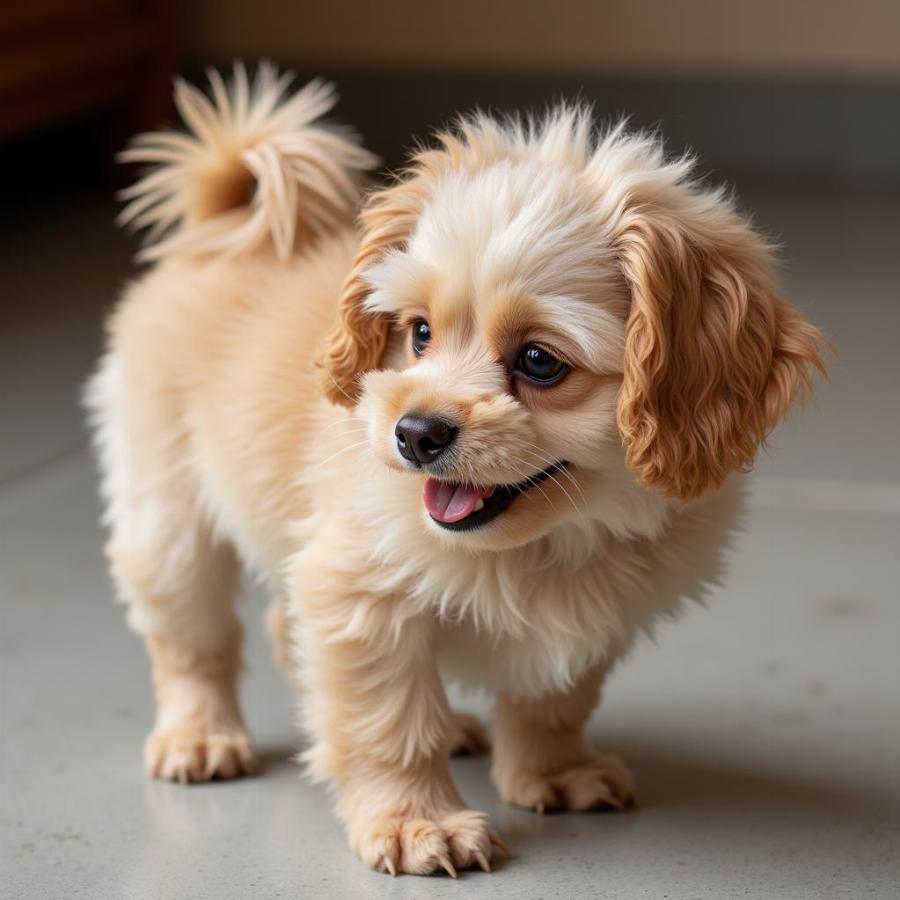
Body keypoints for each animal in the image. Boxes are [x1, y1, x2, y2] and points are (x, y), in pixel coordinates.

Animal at [88, 65, 828, 880]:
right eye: (418, 334)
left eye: (539, 361)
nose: (414, 433)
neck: (546, 543)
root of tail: (220, 226)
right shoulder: (360, 595)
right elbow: (386, 724)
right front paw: (417, 822)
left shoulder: (594, 621)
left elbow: (554, 702)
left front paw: (552, 772)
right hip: (169, 521)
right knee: (194, 643)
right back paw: (200, 736)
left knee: (283, 625)